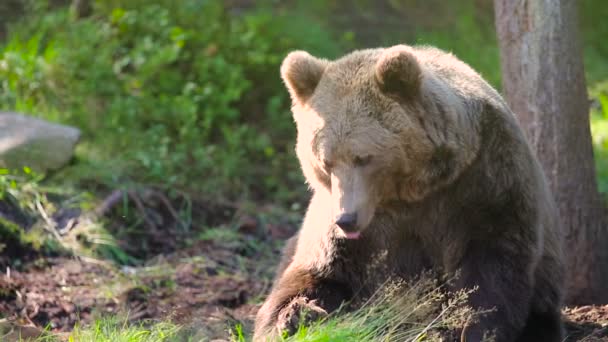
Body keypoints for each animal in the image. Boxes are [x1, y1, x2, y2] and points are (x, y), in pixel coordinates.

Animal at [253, 45, 564, 342]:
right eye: (326, 162)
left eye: (363, 158)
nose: (346, 219)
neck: (410, 191)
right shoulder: (352, 233)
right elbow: (315, 274)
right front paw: (295, 315)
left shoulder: (484, 182)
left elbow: (493, 266)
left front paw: (473, 329)